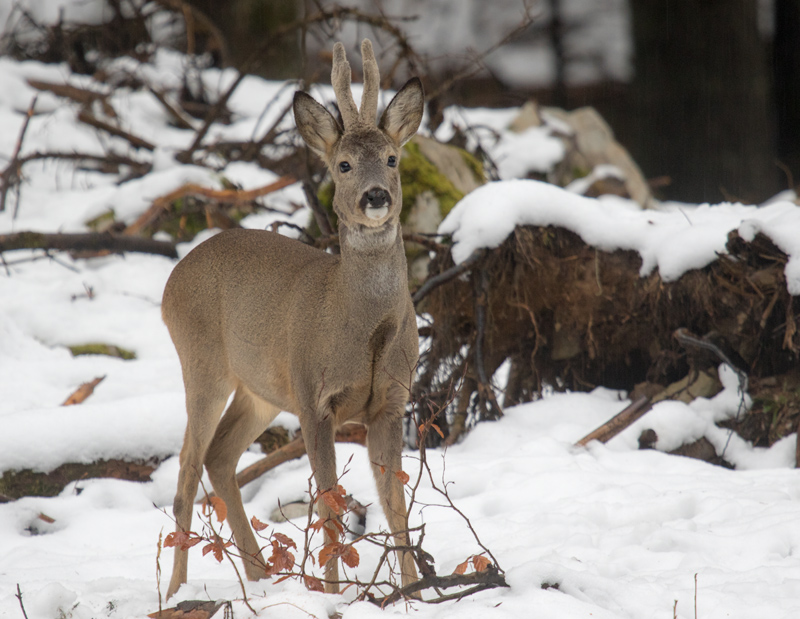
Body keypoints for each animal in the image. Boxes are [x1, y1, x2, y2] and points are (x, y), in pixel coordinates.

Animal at [162, 38, 424, 600]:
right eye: (343, 164)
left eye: (392, 158)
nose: (376, 196)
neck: (363, 330)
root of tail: (172, 279)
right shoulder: (313, 395)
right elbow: (328, 501)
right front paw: (332, 593)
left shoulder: (391, 402)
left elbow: (394, 504)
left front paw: (418, 591)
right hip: (203, 364)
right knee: (188, 467)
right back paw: (174, 592)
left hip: (260, 390)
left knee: (220, 456)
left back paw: (261, 574)